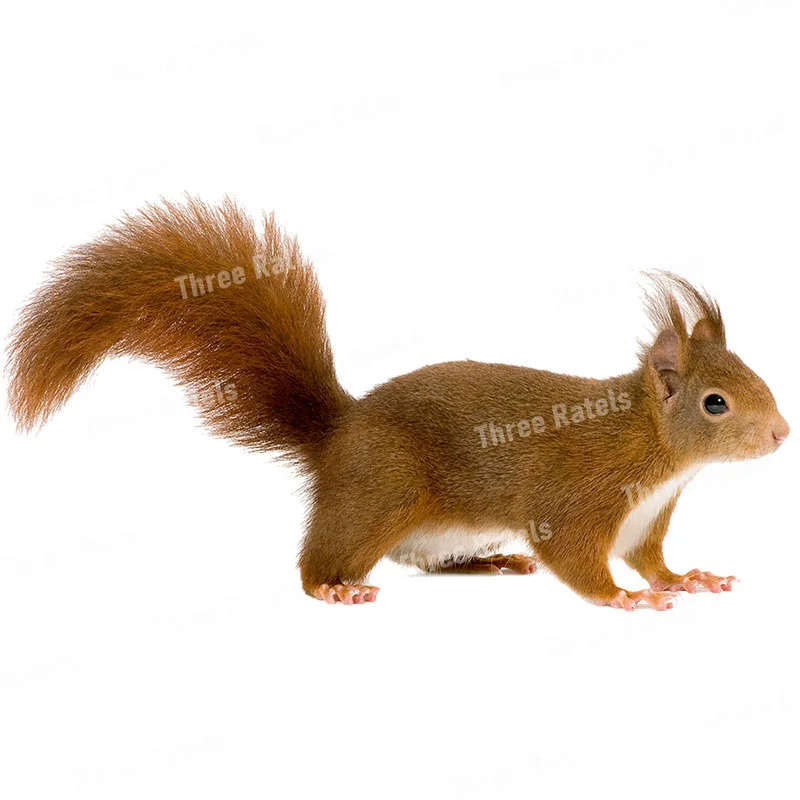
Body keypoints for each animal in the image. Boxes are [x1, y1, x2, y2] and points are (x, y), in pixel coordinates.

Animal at [7, 197, 789, 610]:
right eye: (715, 404)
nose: (783, 434)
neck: (653, 450)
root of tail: (338, 432)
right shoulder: (579, 498)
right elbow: (577, 559)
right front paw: (627, 599)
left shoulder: (643, 519)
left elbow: (651, 560)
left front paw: (689, 578)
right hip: (379, 494)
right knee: (317, 562)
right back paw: (334, 589)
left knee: (425, 562)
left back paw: (490, 566)